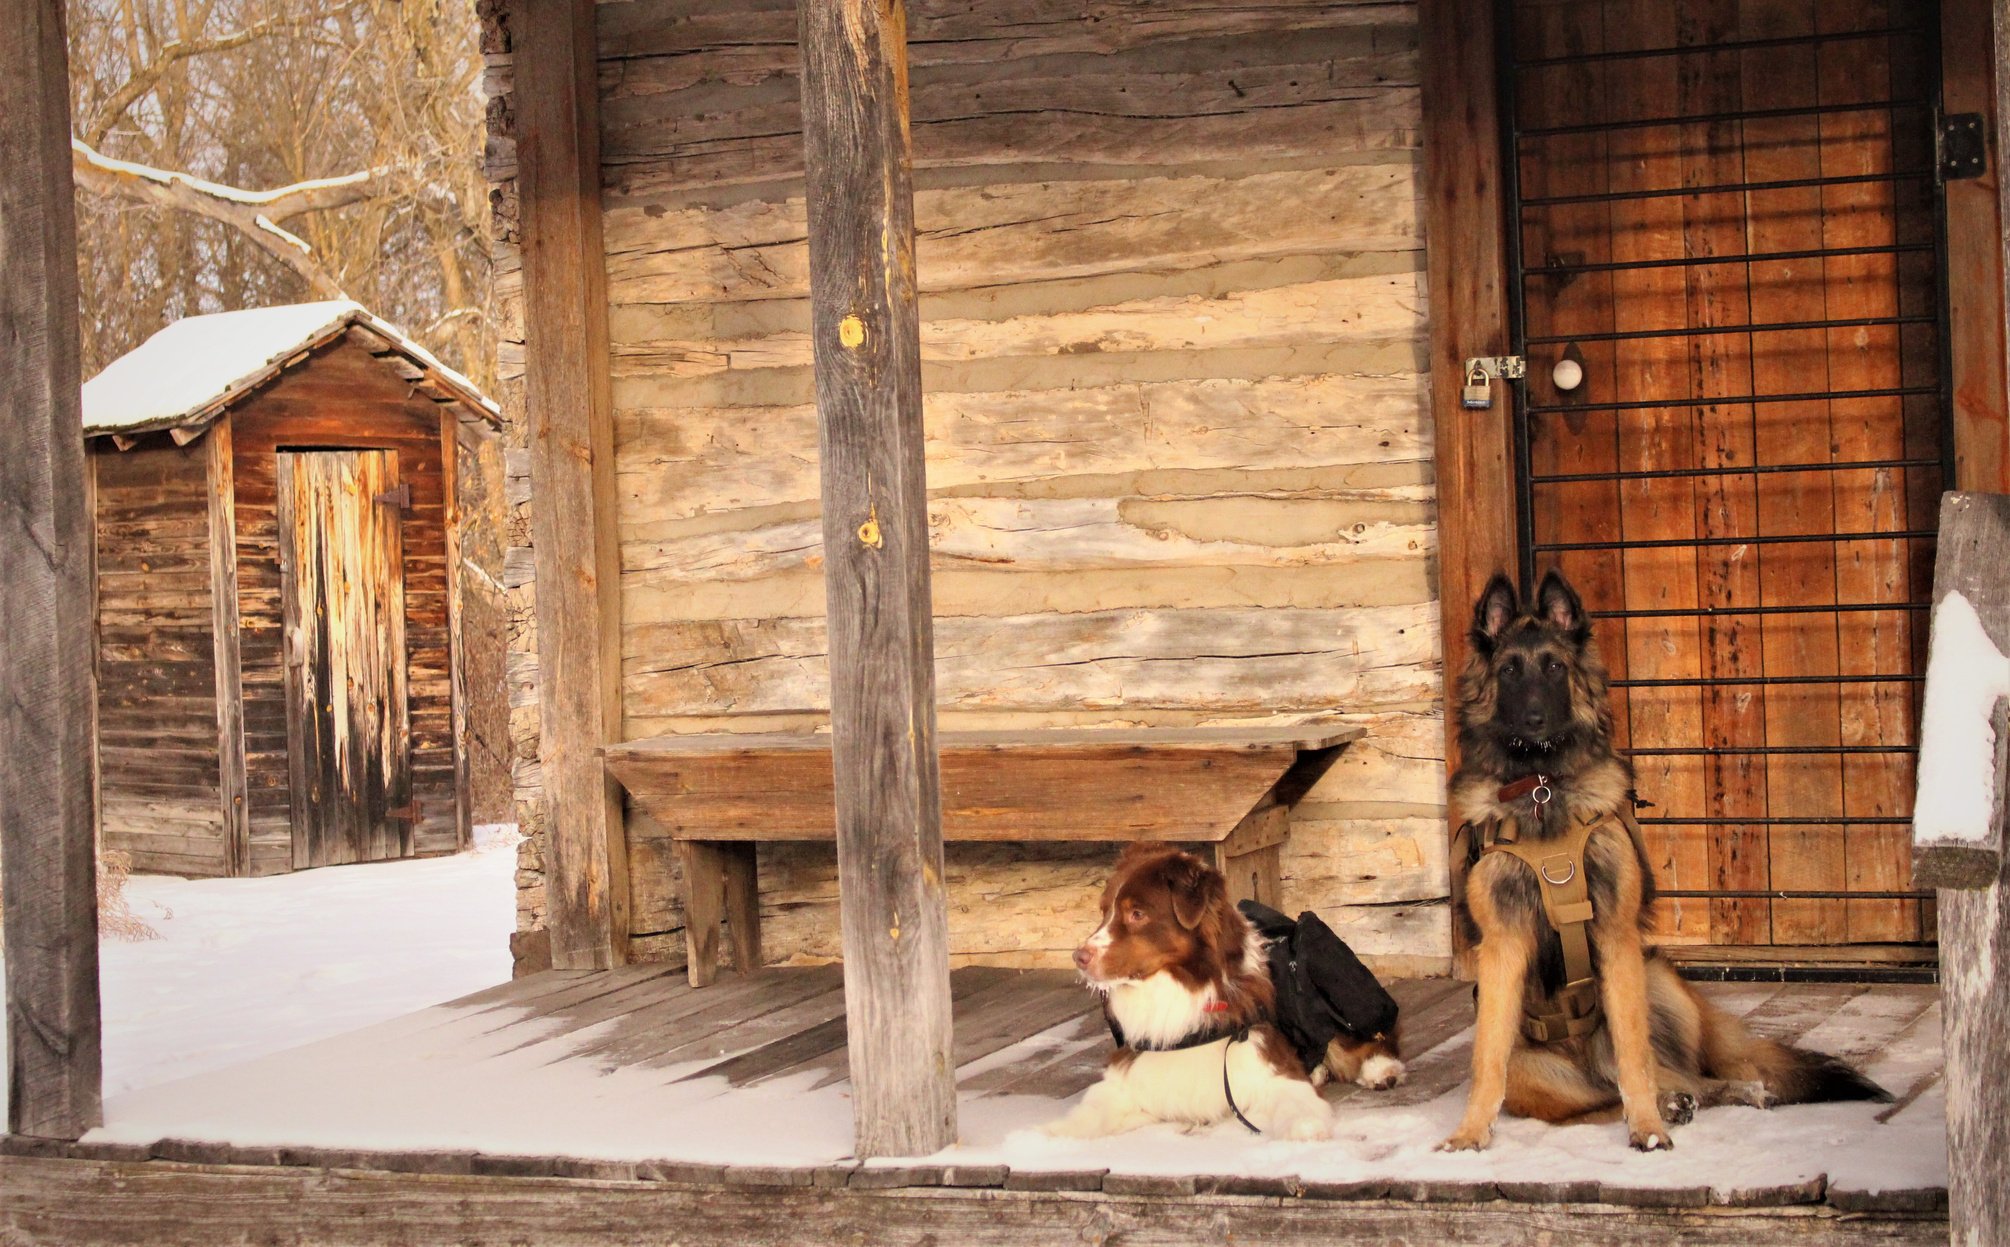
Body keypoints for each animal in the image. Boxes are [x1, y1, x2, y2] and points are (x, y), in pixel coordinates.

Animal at [1037, 836, 1398, 1142]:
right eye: (1104, 911)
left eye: (1137, 913)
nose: (1078, 957)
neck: (1182, 990)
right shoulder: (1131, 1071)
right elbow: (1089, 1112)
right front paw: (1048, 1137)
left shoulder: (1271, 1065)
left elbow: (1298, 1103)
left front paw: (1305, 1129)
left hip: (1336, 983)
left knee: (1371, 1034)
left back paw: (1381, 1070)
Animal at [1447, 571, 1881, 1150]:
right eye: (1510, 670)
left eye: (1555, 667)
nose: (1536, 720)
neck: (1543, 790)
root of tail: (1588, 1060)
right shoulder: (1503, 946)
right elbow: (1487, 1061)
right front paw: (1471, 1133)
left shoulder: (1616, 939)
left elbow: (1635, 1054)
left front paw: (1648, 1131)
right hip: (1537, 1073)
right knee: (1593, 1101)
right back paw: (1672, 1103)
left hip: (1657, 977)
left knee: (1679, 1074)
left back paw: (1705, 1097)